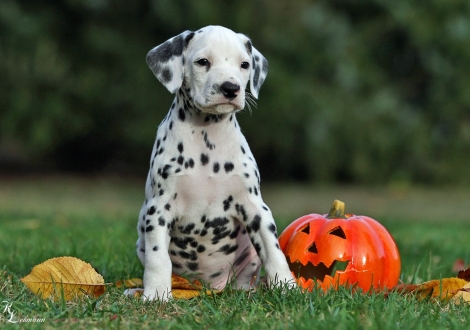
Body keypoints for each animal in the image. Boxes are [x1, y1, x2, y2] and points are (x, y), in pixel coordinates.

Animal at [136, 24, 296, 300]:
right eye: (203, 62)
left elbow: (274, 252)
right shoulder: (159, 208)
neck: (207, 136)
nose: (230, 88)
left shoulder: (255, 208)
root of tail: (211, 288)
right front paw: (156, 294)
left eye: (244, 65)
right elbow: (159, 259)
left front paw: (287, 286)